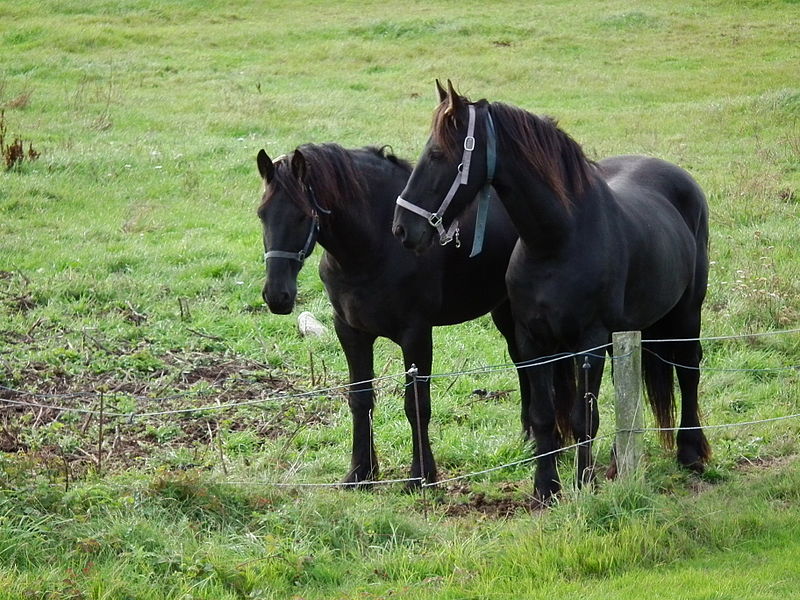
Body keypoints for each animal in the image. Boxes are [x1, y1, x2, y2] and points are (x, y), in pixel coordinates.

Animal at [256, 144, 568, 488]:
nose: (277, 296)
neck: (374, 246)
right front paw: (361, 473)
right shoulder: (350, 331)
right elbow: (360, 399)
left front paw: (421, 475)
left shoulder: (416, 335)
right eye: (262, 214)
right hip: (504, 311)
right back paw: (529, 440)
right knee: (523, 364)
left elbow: (416, 404)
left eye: (302, 215)